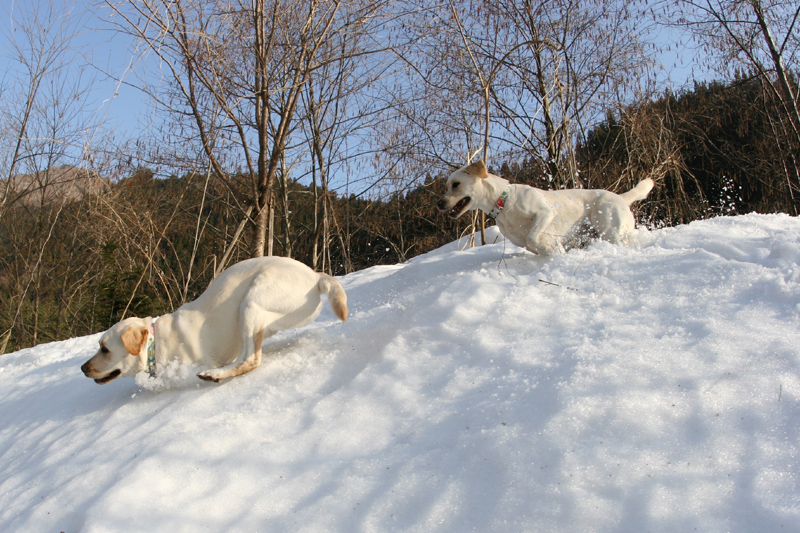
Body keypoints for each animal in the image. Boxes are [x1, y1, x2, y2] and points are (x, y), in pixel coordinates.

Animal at [82, 256, 350, 384]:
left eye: (104, 349)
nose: (83, 368)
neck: (154, 346)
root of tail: (316, 276)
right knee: (246, 355)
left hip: (253, 300)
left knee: (252, 360)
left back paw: (214, 375)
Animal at [438, 159, 656, 255]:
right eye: (446, 186)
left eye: (455, 184)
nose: (440, 203)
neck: (504, 203)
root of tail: (621, 198)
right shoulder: (522, 242)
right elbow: (532, 243)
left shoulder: (545, 212)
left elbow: (533, 236)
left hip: (611, 230)